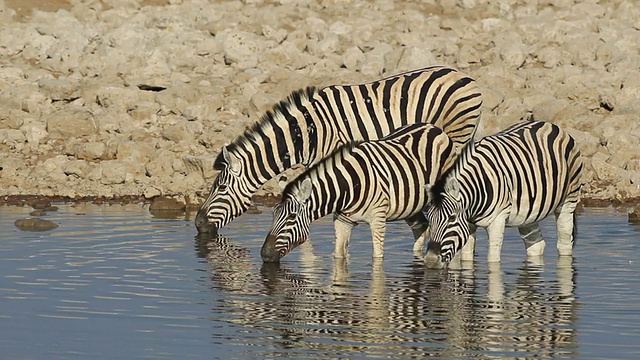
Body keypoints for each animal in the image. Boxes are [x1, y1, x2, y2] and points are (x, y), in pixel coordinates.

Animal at [260, 122, 456, 262]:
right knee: (421, 226)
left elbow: (377, 258)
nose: (264, 255)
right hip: (409, 203)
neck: (347, 187)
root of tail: (433, 127)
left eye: (291, 217)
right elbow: (338, 256)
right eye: (273, 214)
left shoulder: (378, 219)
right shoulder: (342, 221)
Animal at [422, 119, 584, 268]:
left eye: (452, 218)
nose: (430, 260)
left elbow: (492, 260)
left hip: (568, 200)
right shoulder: (468, 224)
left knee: (564, 243)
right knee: (536, 245)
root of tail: (551, 125)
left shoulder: (497, 220)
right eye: (429, 218)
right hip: (529, 213)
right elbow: (466, 259)